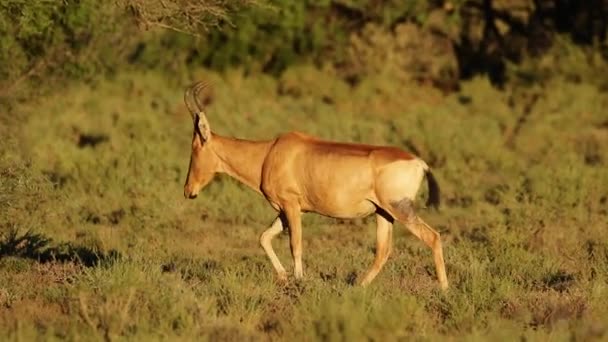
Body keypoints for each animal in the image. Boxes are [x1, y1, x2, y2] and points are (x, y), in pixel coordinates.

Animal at [183, 81, 448, 290]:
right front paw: (283, 277)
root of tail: (419, 162)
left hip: (400, 209)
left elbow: (295, 245)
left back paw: (444, 289)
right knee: (383, 251)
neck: (270, 152)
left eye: (195, 148)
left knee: (433, 237)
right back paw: (359, 287)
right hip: (384, 213)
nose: (188, 191)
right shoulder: (287, 210)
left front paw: (299, 281)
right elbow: (264, 238)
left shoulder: (291, 206)